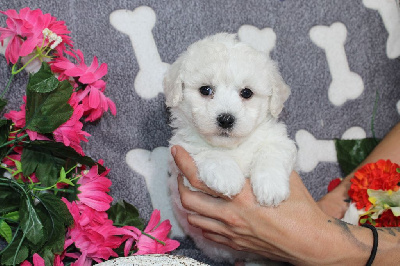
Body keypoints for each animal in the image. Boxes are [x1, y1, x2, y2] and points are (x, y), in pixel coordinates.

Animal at [162, 33, 296, 262]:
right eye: (205, 90)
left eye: (247, 93)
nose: (226, 119)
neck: (233, 146)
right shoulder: (181, 154)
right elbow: (207, 152)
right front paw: (227, 176)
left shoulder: (279, 140)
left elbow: (271, 152)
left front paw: (271, 187)